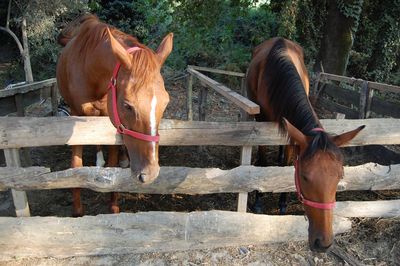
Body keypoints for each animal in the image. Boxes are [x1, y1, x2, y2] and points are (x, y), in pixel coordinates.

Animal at [55, 14, 172, 216]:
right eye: (127, 105)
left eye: (166, 102)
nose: (149, 174)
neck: (90, 68)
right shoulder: (76, 116)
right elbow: (75, 166)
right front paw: (77, 211)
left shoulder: (111, 120)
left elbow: (113, 165)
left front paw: (114, 206)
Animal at [245, 37, 364, 251]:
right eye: (305, 177)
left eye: (339, 177)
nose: (323, 243)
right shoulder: (262, 123)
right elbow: (263, 159)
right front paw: (258, 200)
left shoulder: (292, 132)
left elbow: (286, 163)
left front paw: (283, 203)